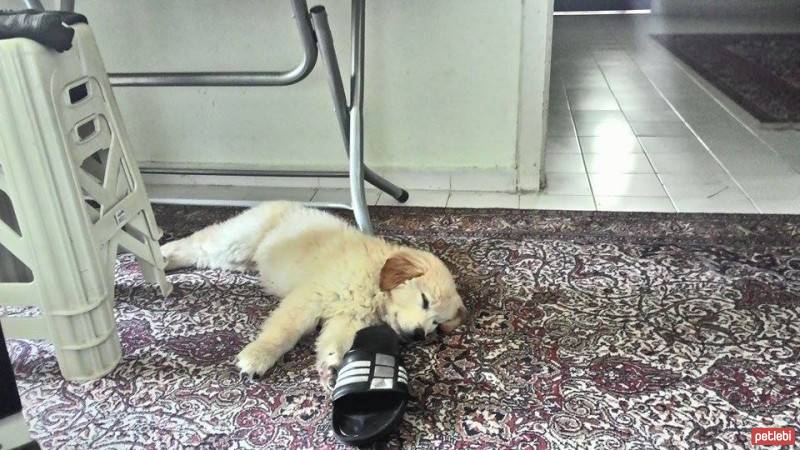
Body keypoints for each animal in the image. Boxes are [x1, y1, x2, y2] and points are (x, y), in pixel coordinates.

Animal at [159, 201, 466, 386]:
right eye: (424, 301)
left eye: (437, 324)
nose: (419, 335)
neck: (373, 281)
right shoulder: (309, 298)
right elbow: (284, 332)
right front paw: (259, 356)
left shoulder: (348, 319)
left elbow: (335, 341)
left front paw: (331, 367)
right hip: (238, 239)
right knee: (198, 243)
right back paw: (161, 254)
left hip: (237, 259)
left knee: (203, 256)